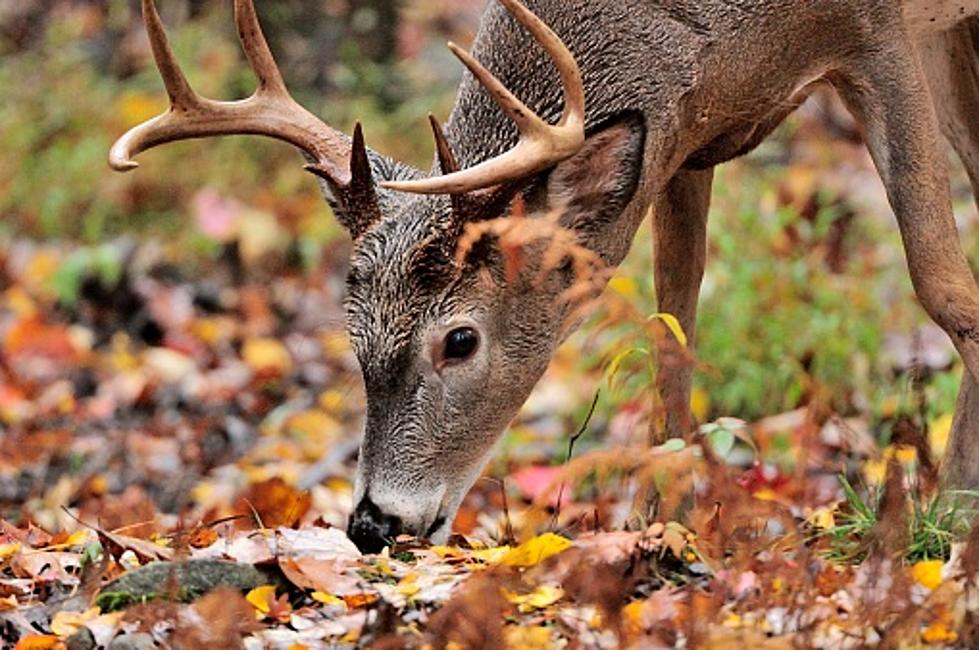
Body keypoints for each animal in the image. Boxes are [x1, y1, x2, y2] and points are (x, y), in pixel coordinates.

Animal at [111, 0, 979, 552]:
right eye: (351, 335)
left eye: (459, 340)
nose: (371, 525)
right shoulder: (685, 142)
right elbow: (672, 329)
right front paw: (659, 525)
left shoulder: (876, 35)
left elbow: (943, 287)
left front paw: (949, 516)